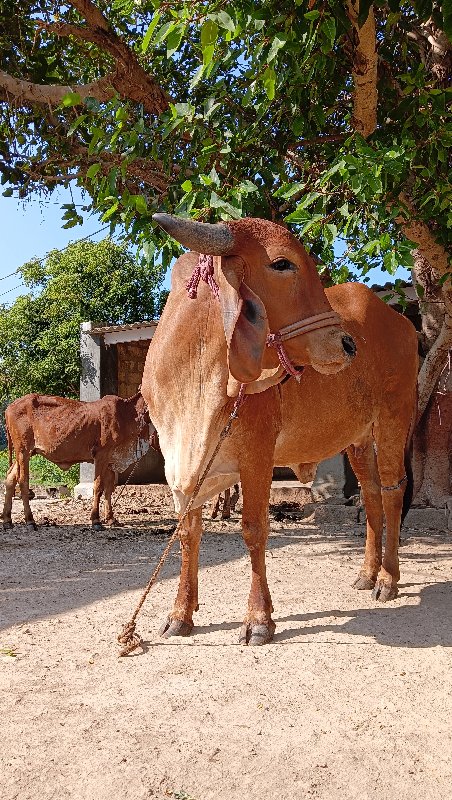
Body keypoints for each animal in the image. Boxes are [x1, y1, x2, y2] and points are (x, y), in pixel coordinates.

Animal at [1, 394, 151, 532]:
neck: (127, 413)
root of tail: (9, 408)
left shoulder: (110, 459)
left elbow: (109, 488)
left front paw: (111, 519)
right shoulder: (101, 455)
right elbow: (98, 487)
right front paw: (96, 521)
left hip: (26, 453)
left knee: (10, 478)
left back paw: (7, 520)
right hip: (23, 451)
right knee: (23, 481)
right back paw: (30, 521)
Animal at [143, 216, 418, 648]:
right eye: (282, 263)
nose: (347, 344)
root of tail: (403, 322)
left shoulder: (257, 457)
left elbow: (254, 529)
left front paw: (258, 619)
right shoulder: (179, 466)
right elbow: (188, 533)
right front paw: (180, 614)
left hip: (393, 417)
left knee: (393, 490)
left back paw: (388, 579)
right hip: (358, 438)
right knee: (371, 494)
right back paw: (367, 573)